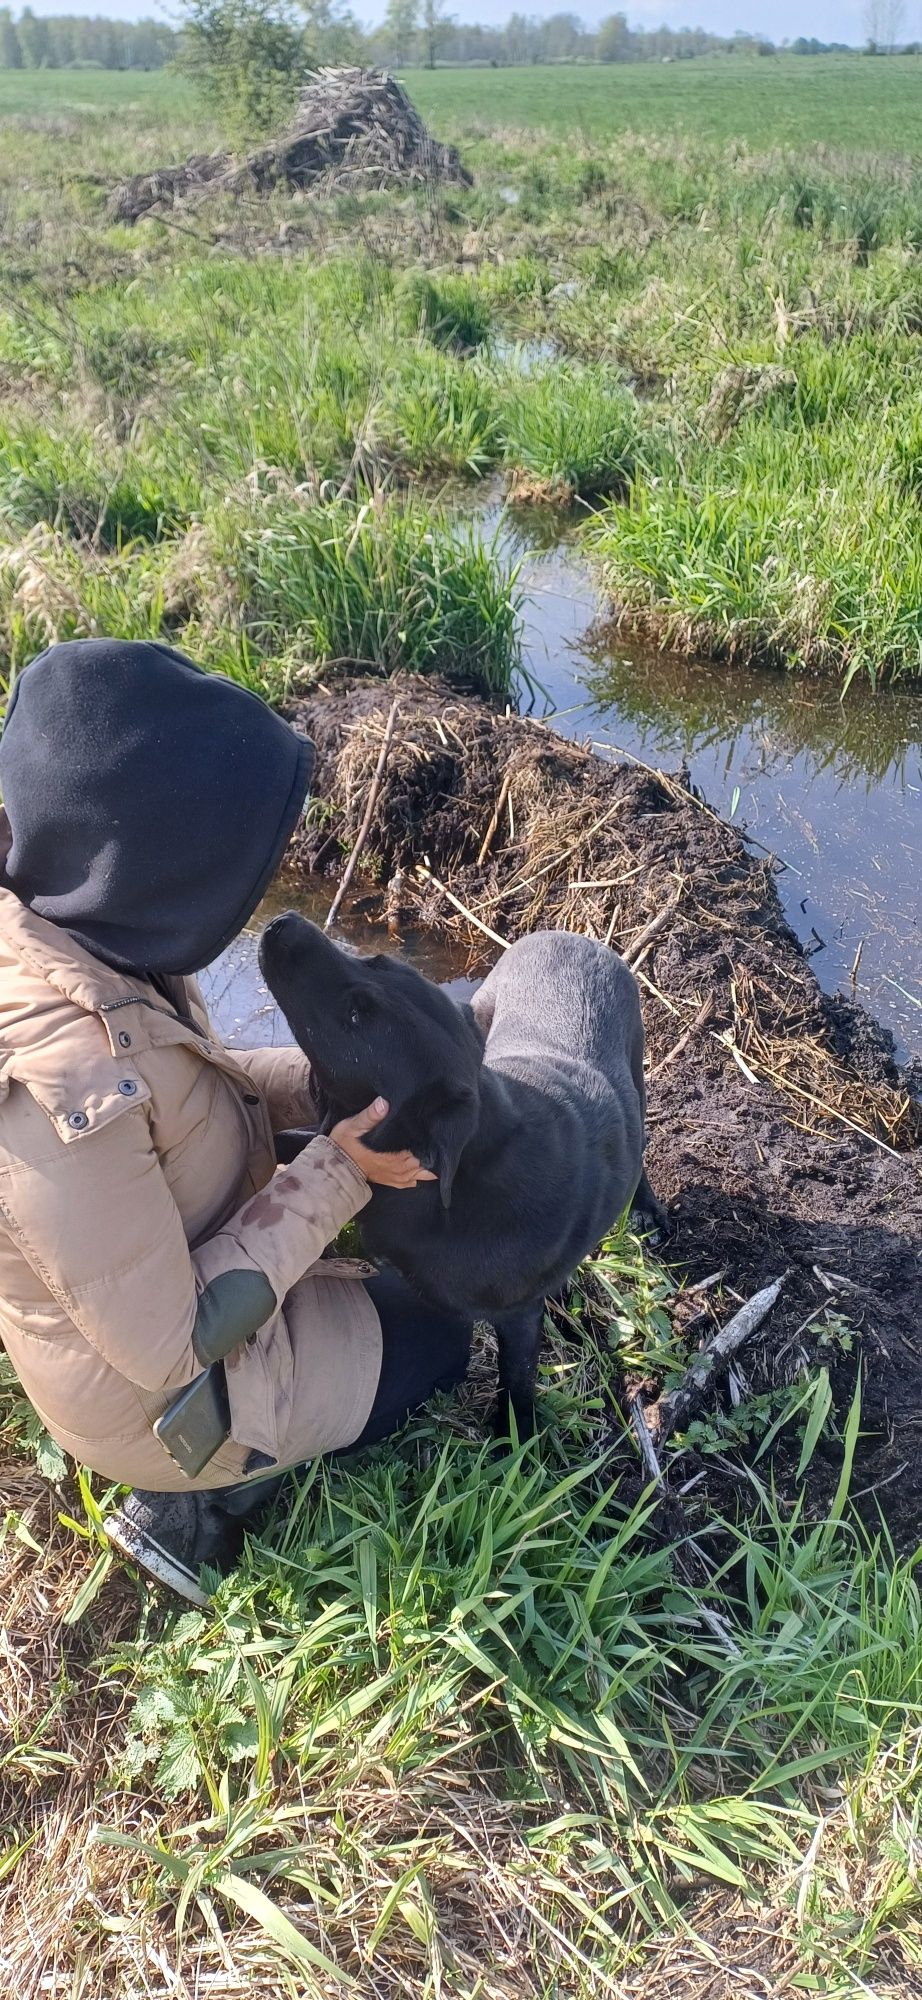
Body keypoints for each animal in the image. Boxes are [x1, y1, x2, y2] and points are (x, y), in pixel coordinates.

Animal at [258, 916, 660, 1432]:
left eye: (356, 1015)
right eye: (375, 960)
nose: (281, 924)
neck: (449, 1183)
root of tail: (569, 935)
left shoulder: (518, 1315)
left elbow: (517, 1379)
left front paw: (513, 1437)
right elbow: (287, 1139)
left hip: (637, 1071)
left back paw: (645, 1208)